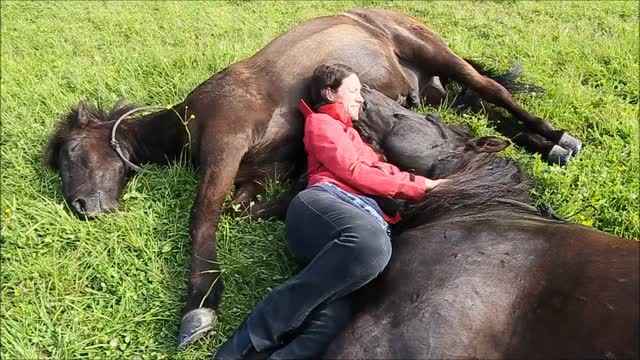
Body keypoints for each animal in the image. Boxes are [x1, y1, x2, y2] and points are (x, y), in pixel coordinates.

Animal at [43, 8, 584, 348]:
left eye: (72, 152)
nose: (83, 208)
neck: (192, 119)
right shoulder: (256, 176)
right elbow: (248, 206)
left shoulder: (225, 147)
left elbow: (203, 214)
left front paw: (199, 304)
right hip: (434, 92)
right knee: (482, 116)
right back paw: (541, 144)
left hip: (434, 53)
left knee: (492, 89)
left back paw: (558, 138)